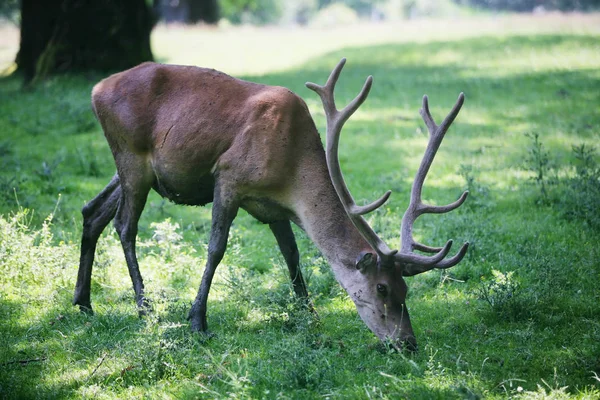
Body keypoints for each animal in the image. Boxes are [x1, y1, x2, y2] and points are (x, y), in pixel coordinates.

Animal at [74, 57, 468, 350]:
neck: (290, 169)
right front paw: (197, 321)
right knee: (125, 225)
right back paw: (145, 308)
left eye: (406, 289)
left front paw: (310, 316)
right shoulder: (228, 177)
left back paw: (83, 302)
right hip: (131, 155)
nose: (408, 342)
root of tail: (95, 90)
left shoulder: (275, 208)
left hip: (136, 171)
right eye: (382, 287)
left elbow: (292, 256)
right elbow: (216, 248)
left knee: (92, 211)